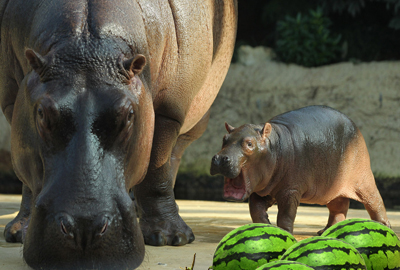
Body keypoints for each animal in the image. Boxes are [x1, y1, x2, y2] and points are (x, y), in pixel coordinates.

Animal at [0, 1, 238, 268]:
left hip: (196, 115)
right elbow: (27, 177)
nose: (84, 229)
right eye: (41, 113)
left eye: (129, 115)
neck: (87, 46)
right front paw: (19, 232)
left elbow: (156, 169)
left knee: (173, 156)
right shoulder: (13, 102)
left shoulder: (168, 112)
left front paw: (170, 238)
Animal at [211, 105, 392, 234]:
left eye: (249, 143)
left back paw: (384, 226)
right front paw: (266, 226)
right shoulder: (261, 190)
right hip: (332, 189)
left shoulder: (290, 191)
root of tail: (355, 126)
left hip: (363, 180)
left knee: (375, 201)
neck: (274, 145)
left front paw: (284, 232)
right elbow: (255, 210)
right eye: (224, 139)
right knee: (338, 208)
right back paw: (325, 232)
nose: (219, 158)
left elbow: (286, 215)